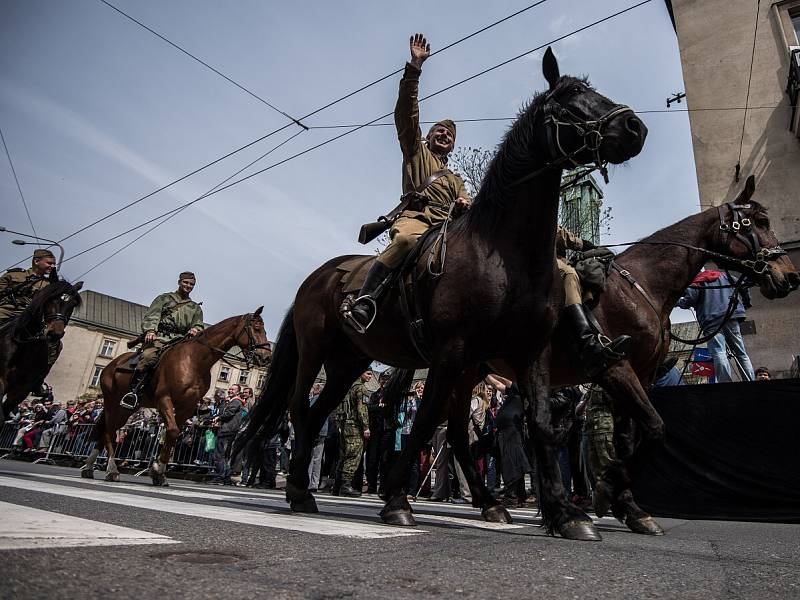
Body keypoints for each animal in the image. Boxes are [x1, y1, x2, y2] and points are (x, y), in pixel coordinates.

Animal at [81, 308, 270, 486]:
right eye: (257, 328)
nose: (266, 358)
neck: (195, 360)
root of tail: (112, 364)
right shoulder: (164, 399)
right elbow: (172, 431)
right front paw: (158, 469)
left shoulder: (187, 407)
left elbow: (173, 434)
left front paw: (158, 470)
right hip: (113, 401)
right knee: (108, 431)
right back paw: (110, 469)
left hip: (126, 408)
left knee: (107, 430)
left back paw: (92, 467)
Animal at [241, 49, 648, 540]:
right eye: (570, 98)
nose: (634, 127)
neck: (504, 253)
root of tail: (318, 277)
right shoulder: (451, 353)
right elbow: (425, 419)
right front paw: (396, 499)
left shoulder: (530, 354)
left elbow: (540, 426)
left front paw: (564, 512)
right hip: (314, 352)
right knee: (301, 410)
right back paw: (301, 490)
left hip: (348, 363)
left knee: (320, 415)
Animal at [400, 175, 800, 536]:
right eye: (757, 222)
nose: (790, 276)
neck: (641, 286)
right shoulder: (615, 368)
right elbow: (654, 427)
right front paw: (609, 491)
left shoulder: (640, 375)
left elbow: (630, 437)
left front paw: (626, 504)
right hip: (460, 367)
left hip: (470, 370)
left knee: (457, 432)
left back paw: (495, 503)